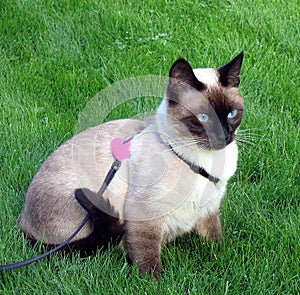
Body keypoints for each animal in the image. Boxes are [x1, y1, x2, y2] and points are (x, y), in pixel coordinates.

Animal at [18, 52, 244, 278]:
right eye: (203, 118)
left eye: (232, 114)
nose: (224, 136)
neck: (203, 164)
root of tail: (23, 222)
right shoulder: (146, 216)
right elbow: (148, 258)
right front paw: (154, 283)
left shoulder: (208, 211)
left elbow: (216, 243)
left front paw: (221, 261)